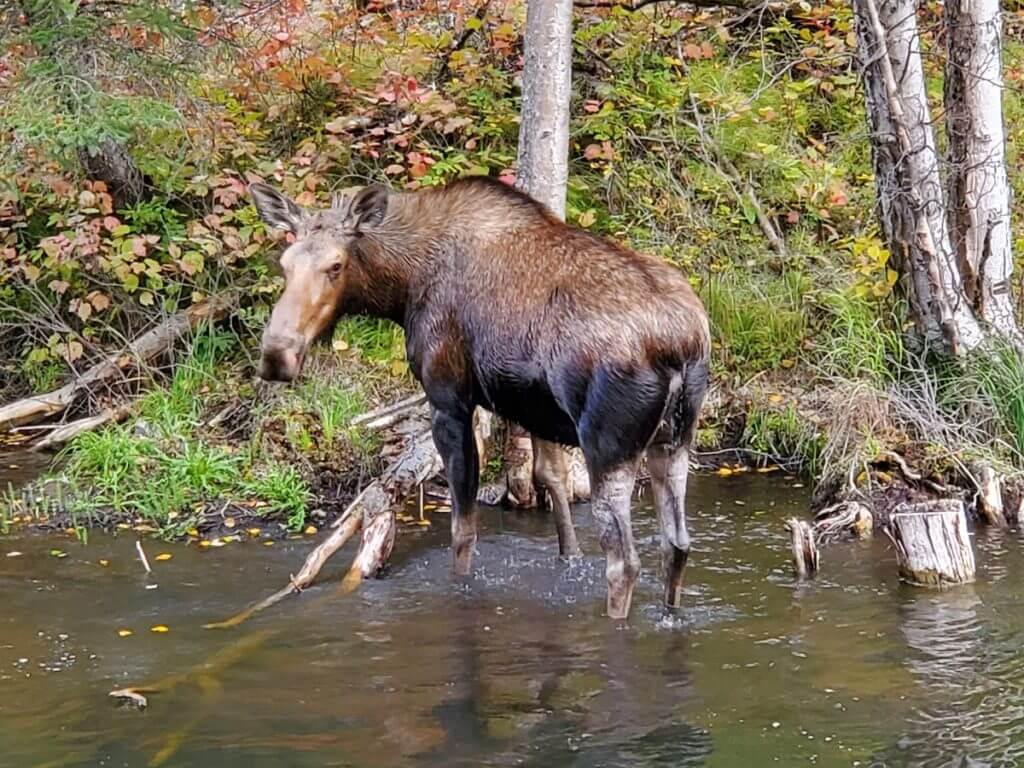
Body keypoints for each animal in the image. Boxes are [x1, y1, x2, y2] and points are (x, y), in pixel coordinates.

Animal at [251, 177, 708, 622]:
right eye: (284, 264)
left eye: (336, 265)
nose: (276, 354)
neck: (401, 288)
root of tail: (681, 346)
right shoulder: (535, 408)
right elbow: (552, 481)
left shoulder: (449, 399)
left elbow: (463, 530)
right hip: (675, 440)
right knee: (677, 544)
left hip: (608, 445)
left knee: (624, 561)